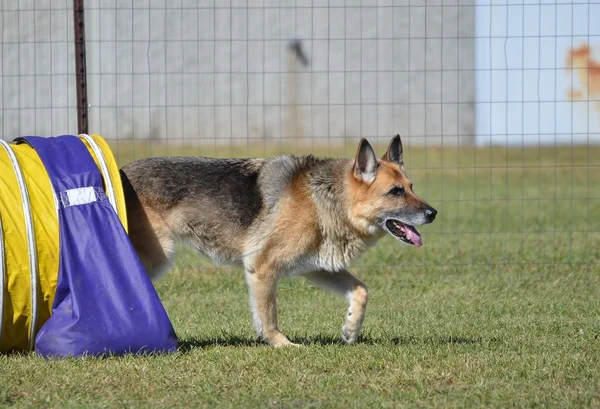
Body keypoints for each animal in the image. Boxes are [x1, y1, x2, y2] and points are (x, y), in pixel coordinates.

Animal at [120, 135, 436, 346]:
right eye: (395, 192)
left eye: (411, 187)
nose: (433, 213)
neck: (327, 200)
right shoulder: (262, 268)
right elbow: (268, 315)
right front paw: (282, 345)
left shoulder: (317, 268)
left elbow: (361, 290)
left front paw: (350, 329)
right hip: (157, 255)